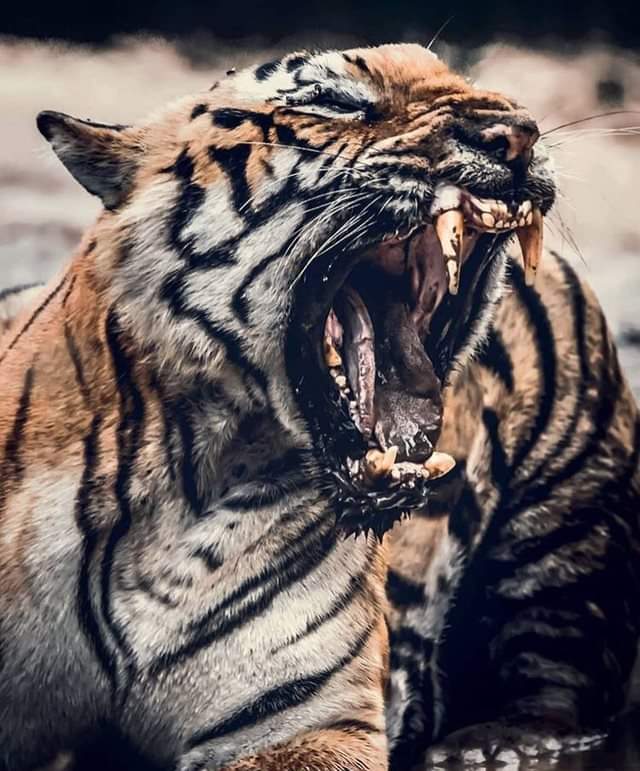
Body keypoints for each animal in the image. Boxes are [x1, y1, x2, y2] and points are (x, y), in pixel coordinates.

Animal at [0, 41, 638, 771]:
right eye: (336, 101)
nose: (519, 134)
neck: (185, 477)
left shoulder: (307, 721)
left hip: (568, 524)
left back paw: (489, 746)